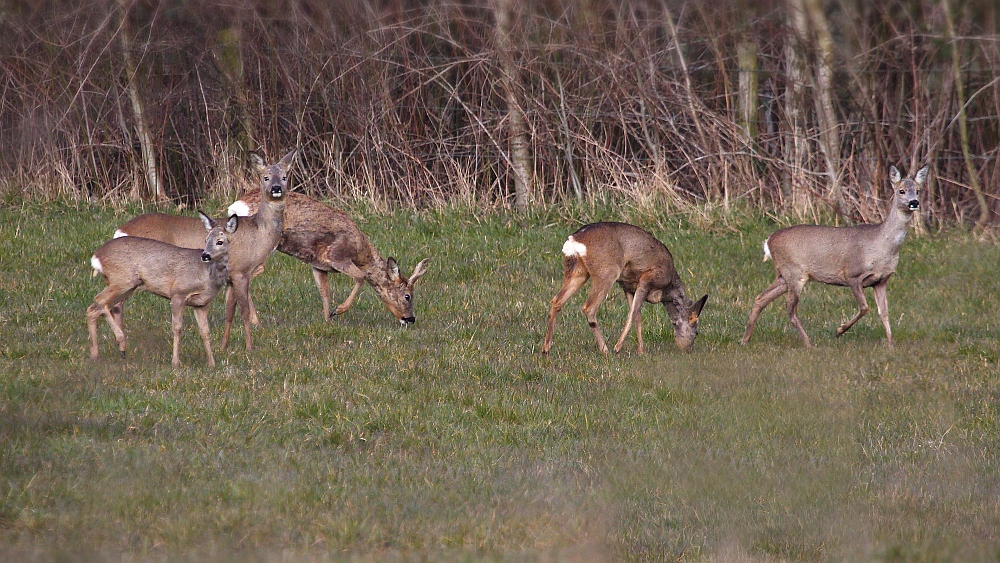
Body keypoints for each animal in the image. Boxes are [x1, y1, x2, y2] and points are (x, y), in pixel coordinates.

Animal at [87, 214, 237, 368]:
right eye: (206, 239)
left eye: (220, 241)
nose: (205, 255)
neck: (207, 275)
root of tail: (96, 256)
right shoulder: (178, 293)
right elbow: (177, 328)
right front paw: (175, 363)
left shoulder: (201, 304)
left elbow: (205, 331)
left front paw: (211, 363)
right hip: (121, 280)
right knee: (99, 300)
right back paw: (121, 342)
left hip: (127, 286)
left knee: (93, 308)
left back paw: (95, 356)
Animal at [114, 152, 292, 350]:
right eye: (265, 177)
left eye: (284, 177)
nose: (276, 188)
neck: (259, 233)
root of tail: (121, 230)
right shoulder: (241, 271)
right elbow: (244, 310)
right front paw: (249, 348)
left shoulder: (230, 277)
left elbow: (229, 311)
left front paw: (223, 346)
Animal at [227, 189, 430, 324]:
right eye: (407, 296)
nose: (410, 319)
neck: (360, 251)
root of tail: (238, 206)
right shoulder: (337, 256)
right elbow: (361, 276)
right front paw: (337, 311)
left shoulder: (317, 264)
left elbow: (324, 290)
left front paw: (327, 321)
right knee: (246, 273)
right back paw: (254, 320)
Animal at [540, 223, 712, 354]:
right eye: (696, 332)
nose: (688, 349)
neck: (667, 289)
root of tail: (574, 240)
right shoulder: (647, 278)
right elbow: (633, 312)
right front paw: (619, 347)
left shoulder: (628, 286)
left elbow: (637, 315)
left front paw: (641, 350)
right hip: (606, 272)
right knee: (589, 307)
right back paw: (605, 349)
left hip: (578, 271)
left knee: (556, 301)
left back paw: (546, 348)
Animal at [744, 164, 928, 348]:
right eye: (901, 191)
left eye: (918, 190)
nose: (914, 202)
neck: (882, 247)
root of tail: (769, 241)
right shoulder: (852, 274)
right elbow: (864, 308)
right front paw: (839, 331)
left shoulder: (881, 281)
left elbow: (884, 312)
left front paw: (890, 344)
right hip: (794, 273)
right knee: (790, 307)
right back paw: (808, 343)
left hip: (785, 275)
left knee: (761, 298)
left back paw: (745, 339)